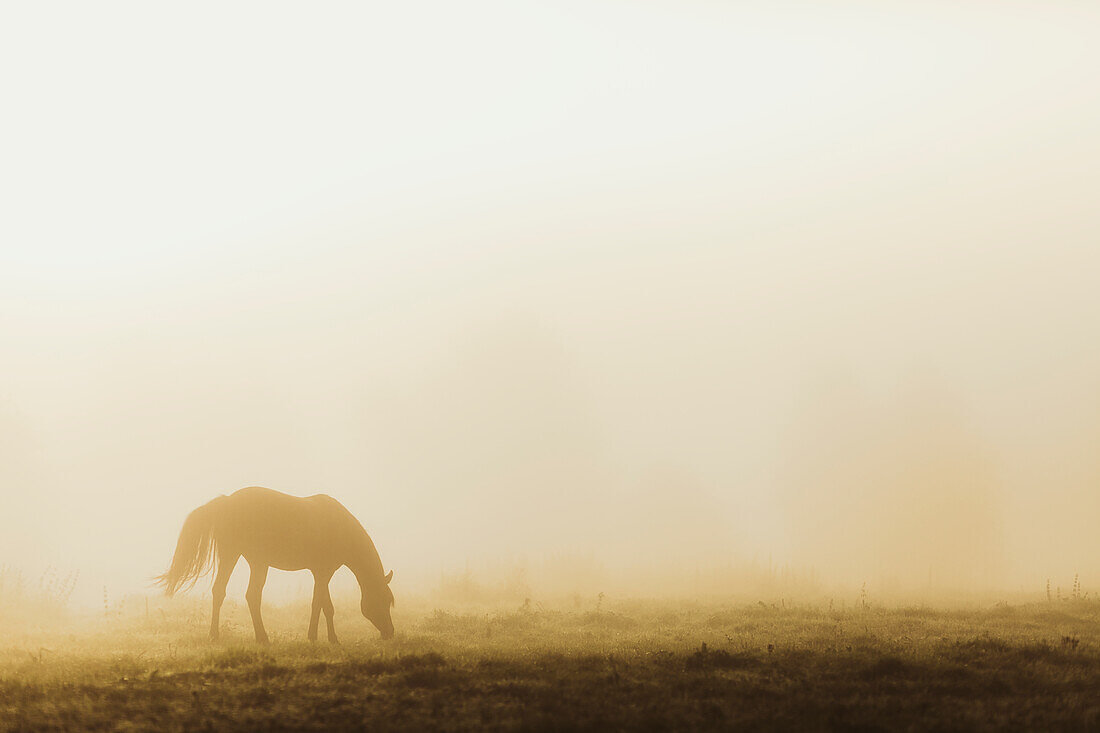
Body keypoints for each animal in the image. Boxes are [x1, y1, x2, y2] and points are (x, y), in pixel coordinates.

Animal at [154, 484, 396, 638]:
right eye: (384, 600)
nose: (390, 632)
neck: (339, 527)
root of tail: (227, 501)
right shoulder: (323, 573)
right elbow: (322, 605)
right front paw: (323, 638)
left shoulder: (320, 573)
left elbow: (322, 604)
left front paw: (324, 637)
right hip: (247, 559)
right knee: (245, 594)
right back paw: (258, 637)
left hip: (242, 558)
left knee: (227, 592)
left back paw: (224, 635)